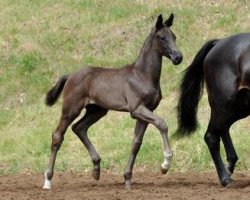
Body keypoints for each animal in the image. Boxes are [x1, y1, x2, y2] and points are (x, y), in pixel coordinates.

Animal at [44, 13, 183, 189]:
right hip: (71, 109)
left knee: (79, 128)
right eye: (162, 38)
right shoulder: (136, 109)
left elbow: (136, 143)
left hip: (97, 110)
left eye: (174, 36)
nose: (178, 57)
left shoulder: (146, 111)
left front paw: (127, 180)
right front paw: (165, 164)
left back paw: (96, 169)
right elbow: (162, 124)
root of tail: (70, 75)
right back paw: (48, 180)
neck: (142, 75)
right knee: (58, 136)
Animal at [178, 33, 250, 188]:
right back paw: (225, 178)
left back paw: (229, 167)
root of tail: (219, 43)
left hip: (239, 106)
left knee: (222, 128)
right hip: (223, 102)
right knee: (211, 136)